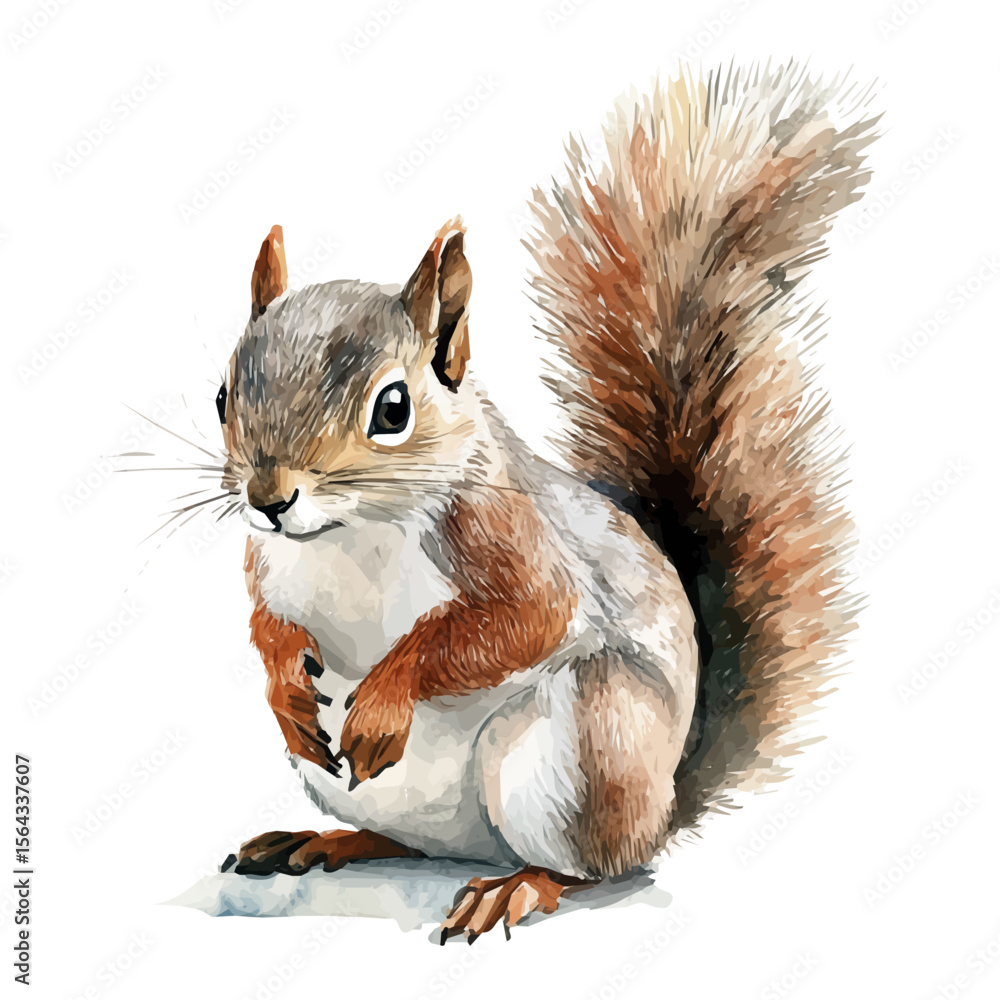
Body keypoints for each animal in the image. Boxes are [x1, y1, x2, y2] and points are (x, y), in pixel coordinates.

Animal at [213, 63, 874, 942]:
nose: (269, 497)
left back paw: (520, 885)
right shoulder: (269, 561)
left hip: (586, 748)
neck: (348, 532)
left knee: (591, 865)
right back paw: (325, 839)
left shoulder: (506, 534)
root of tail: (664, 803)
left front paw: (384, 700)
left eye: (393, 408)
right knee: (407, 842)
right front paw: (283, 679)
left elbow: (524, 616)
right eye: (221, 395)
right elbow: (265, 622)